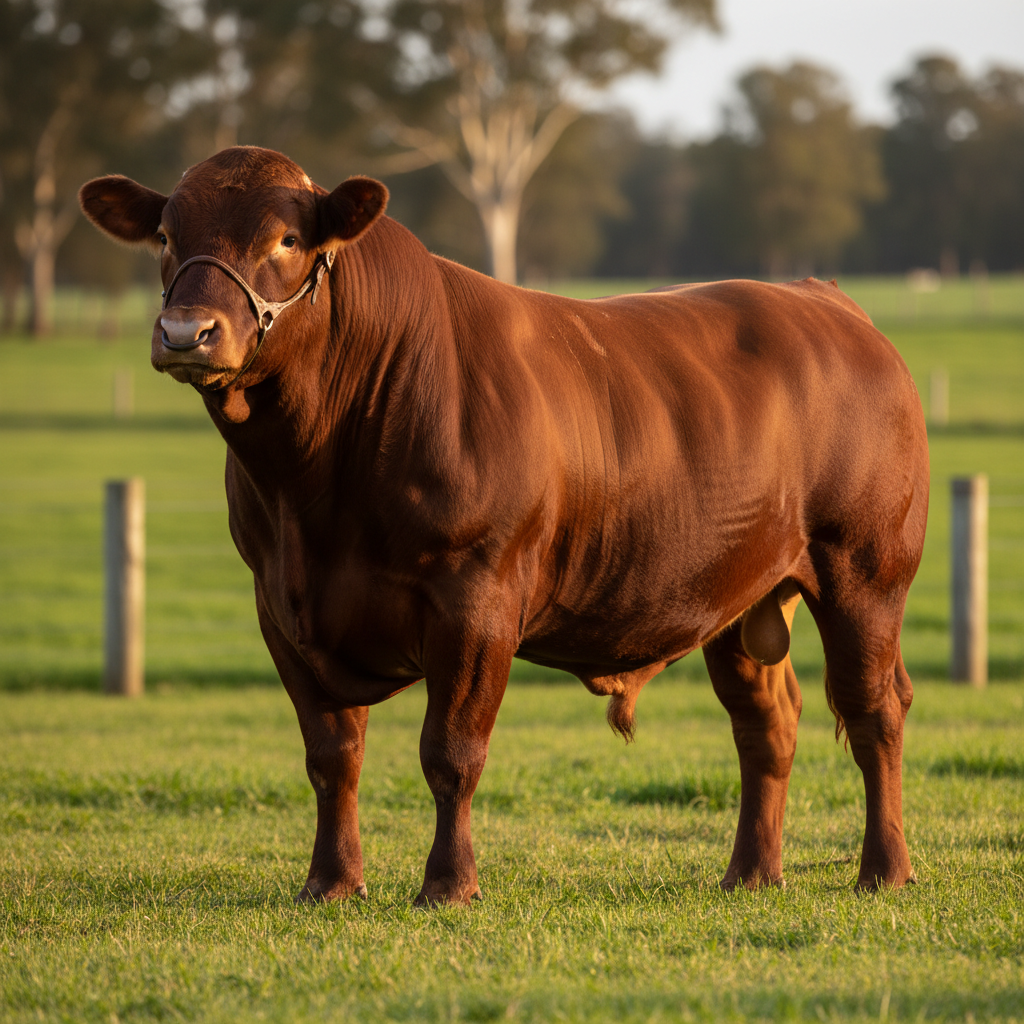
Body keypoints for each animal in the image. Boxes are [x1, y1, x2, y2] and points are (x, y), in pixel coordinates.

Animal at [79, 146, 928, 906]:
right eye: (166, 235)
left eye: (286, 240)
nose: (186, 332)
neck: (311, 490)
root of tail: (824, 299)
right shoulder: (282, 608)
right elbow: (332, 755)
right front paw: (330, 883)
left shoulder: (475, 600)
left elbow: (451, 752)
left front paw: (448, 885)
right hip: (742, 593)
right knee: (766, 723)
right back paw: (751, 872)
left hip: (866, 571)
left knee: (875, 710)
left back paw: (884, 871)